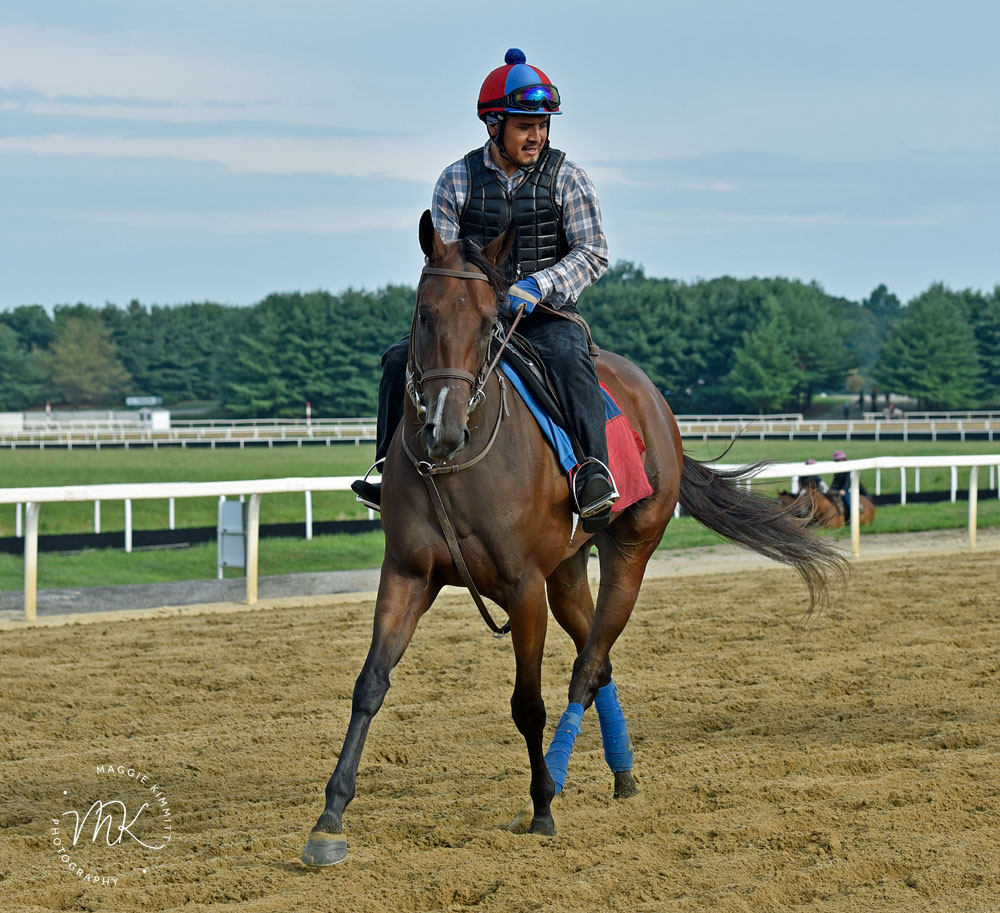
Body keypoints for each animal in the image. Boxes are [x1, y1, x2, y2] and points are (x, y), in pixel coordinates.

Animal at [300, 210, 848, 864]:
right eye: (424, 313)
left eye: (489, 322)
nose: (443, 429)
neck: (459, 468)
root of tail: (653, 401)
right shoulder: (408, 573)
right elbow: (370, 685)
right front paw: (329, 817)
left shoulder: (522, 588)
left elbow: (527, 703)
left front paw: (541, 807)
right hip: (565, 572)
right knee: (599, 661)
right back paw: (622, 772)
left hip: (629, 553)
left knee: (588, 666)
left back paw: (558, 779)